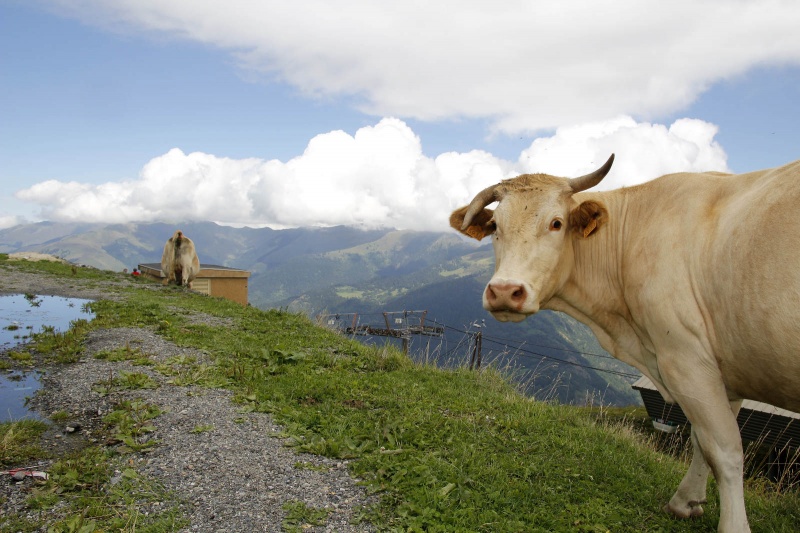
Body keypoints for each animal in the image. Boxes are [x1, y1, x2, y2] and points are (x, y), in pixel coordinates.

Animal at [450, 154, 800, 532]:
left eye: (556, 223)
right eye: (495, 226)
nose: (503, 291)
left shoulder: (686, 359)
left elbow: (726, 451)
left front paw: (731, 524)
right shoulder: (721, 370)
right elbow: (702, 442)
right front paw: (686, 500)